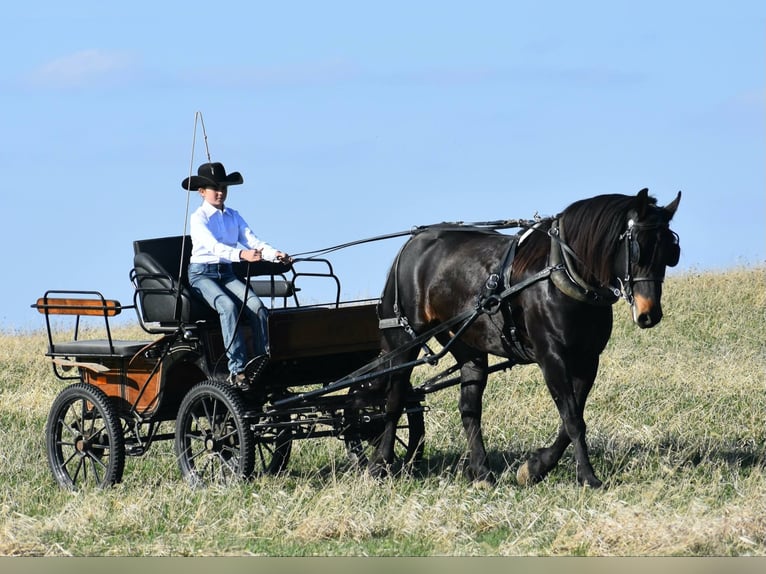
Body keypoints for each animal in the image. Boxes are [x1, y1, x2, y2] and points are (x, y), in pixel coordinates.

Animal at [370, 188, 681, 487]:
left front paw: (534, 468)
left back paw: (482, 473)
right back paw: (380, 464)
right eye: (637, 247)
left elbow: (572, 419)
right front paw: (588, 477)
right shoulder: (551, 356)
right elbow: (572, 419)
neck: (562, 272)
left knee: (469, 408)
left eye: (670, 251)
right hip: (403, 339)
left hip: (466, 345)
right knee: (394, 400)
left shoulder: (588, 359)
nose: (649, 313)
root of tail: (413, 243)